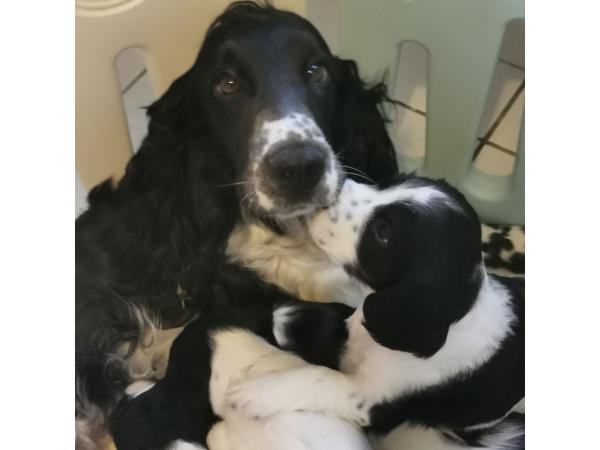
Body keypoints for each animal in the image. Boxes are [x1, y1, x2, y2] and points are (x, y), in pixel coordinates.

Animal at [225, 176, 524, 450]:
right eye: (395, 181)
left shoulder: (368, 399)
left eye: (383, 232)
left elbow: (317, 377)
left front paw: (257, 392)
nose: (323, 192)